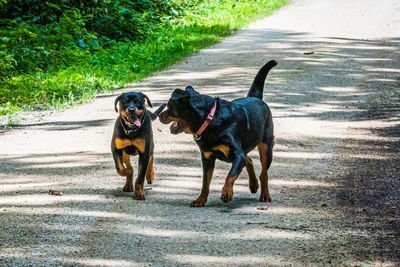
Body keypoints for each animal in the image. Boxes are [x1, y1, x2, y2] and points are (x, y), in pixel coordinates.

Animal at [159, 60, 278, 207]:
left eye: (169, 105)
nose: (160, 115)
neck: (209, 120)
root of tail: (255, 97)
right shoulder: (207, 157)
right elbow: (205, 182)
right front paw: (200, 200)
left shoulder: (237, 155)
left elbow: (230, 176)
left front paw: (226, 193)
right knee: (248, 160)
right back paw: (253, 184)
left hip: (266, 146)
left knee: (263, 173)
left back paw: (265, 194)